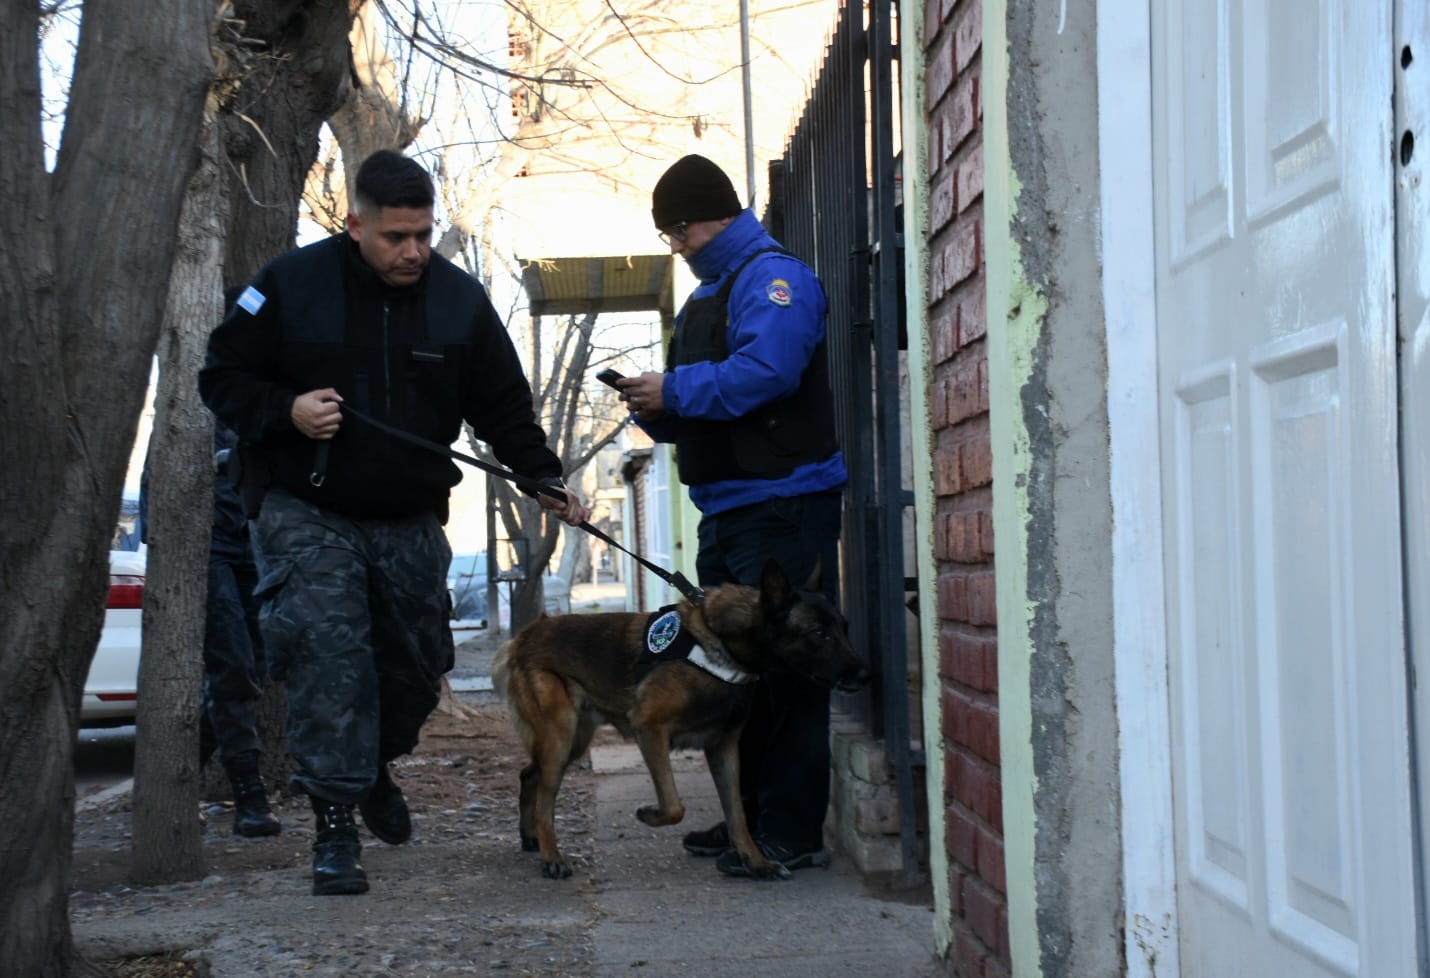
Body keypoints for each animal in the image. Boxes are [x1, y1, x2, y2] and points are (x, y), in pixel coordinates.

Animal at [491, 560, 869, 880]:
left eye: (845, 628)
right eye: (818, 634)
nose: (863, 674)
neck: (722, 645)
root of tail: (526, 633)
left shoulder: (724, 748)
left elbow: (737, 814)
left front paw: (755, 861)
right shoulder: (649, 729)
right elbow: (674, 805)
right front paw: (649, 814)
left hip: (573, 740)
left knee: (529, 775)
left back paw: (531, 838)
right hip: (561, 735)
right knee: (545, 796)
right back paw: (552, 856)